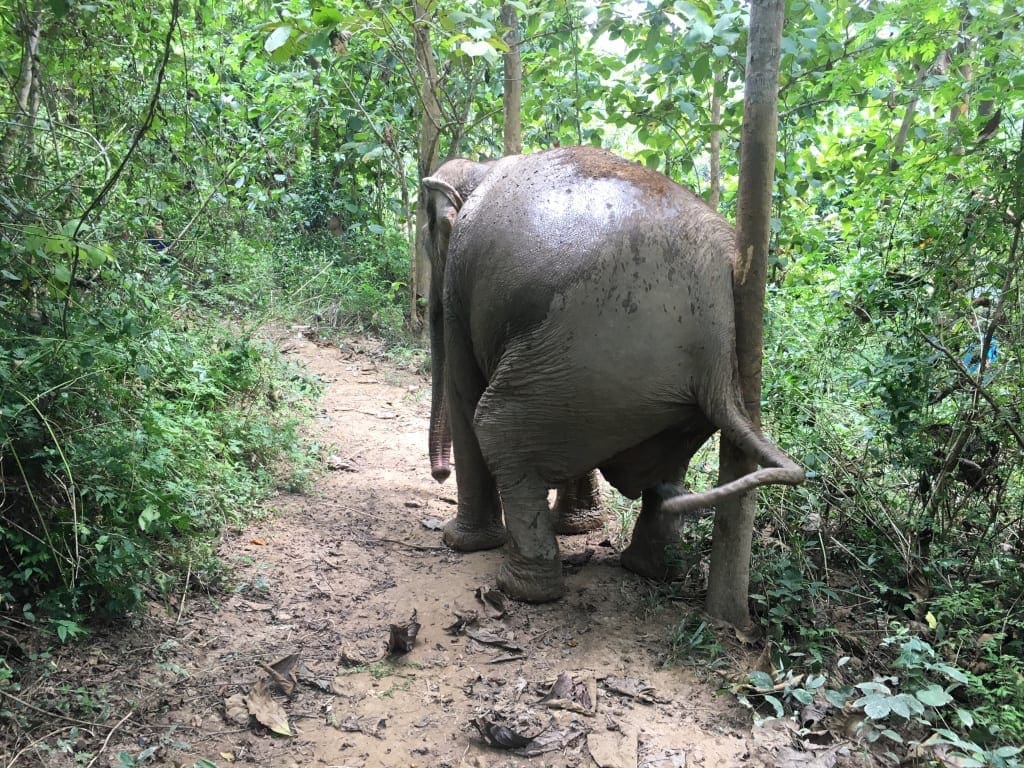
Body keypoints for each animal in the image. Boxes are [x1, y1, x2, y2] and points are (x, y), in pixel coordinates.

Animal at [419, 147, 802, 606]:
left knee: (496, 429)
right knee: (666, 471)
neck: (482, 166)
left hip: (584, 354)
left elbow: (465, 392)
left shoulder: (460, 281)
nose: (438, 475)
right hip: (601, 378)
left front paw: (459, 542)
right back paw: (650, 566)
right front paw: (577, 528)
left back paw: (520, 588)